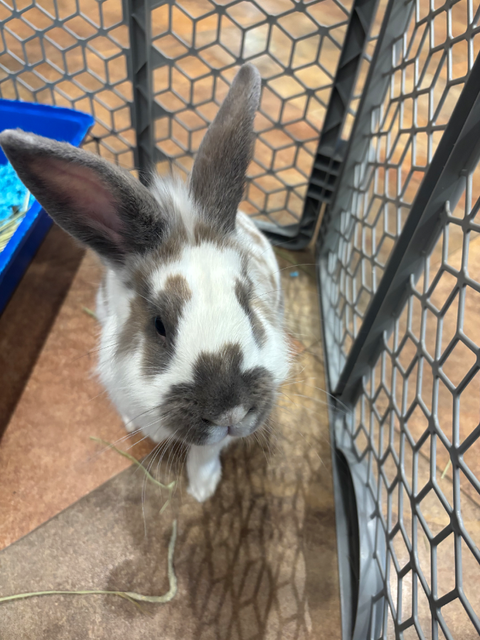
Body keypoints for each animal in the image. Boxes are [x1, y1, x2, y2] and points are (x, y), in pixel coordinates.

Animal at [0, 64, 290, 502]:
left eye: (247, 300)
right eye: (159, 326)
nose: (231, 411)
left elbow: (205, 453)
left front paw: (202, 490)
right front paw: (139, 430)